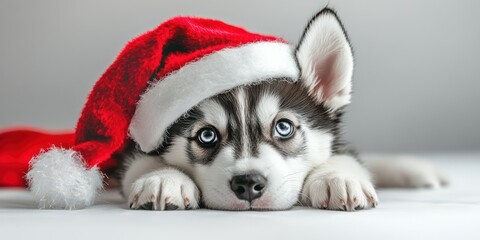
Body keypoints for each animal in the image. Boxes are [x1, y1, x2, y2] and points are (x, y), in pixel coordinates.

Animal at [118, 8, 448, 212]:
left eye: (283, 127)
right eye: (207, 136)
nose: (248, 184)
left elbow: (344, 156)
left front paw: (336, 177)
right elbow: (140, 162)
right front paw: (163, 177)